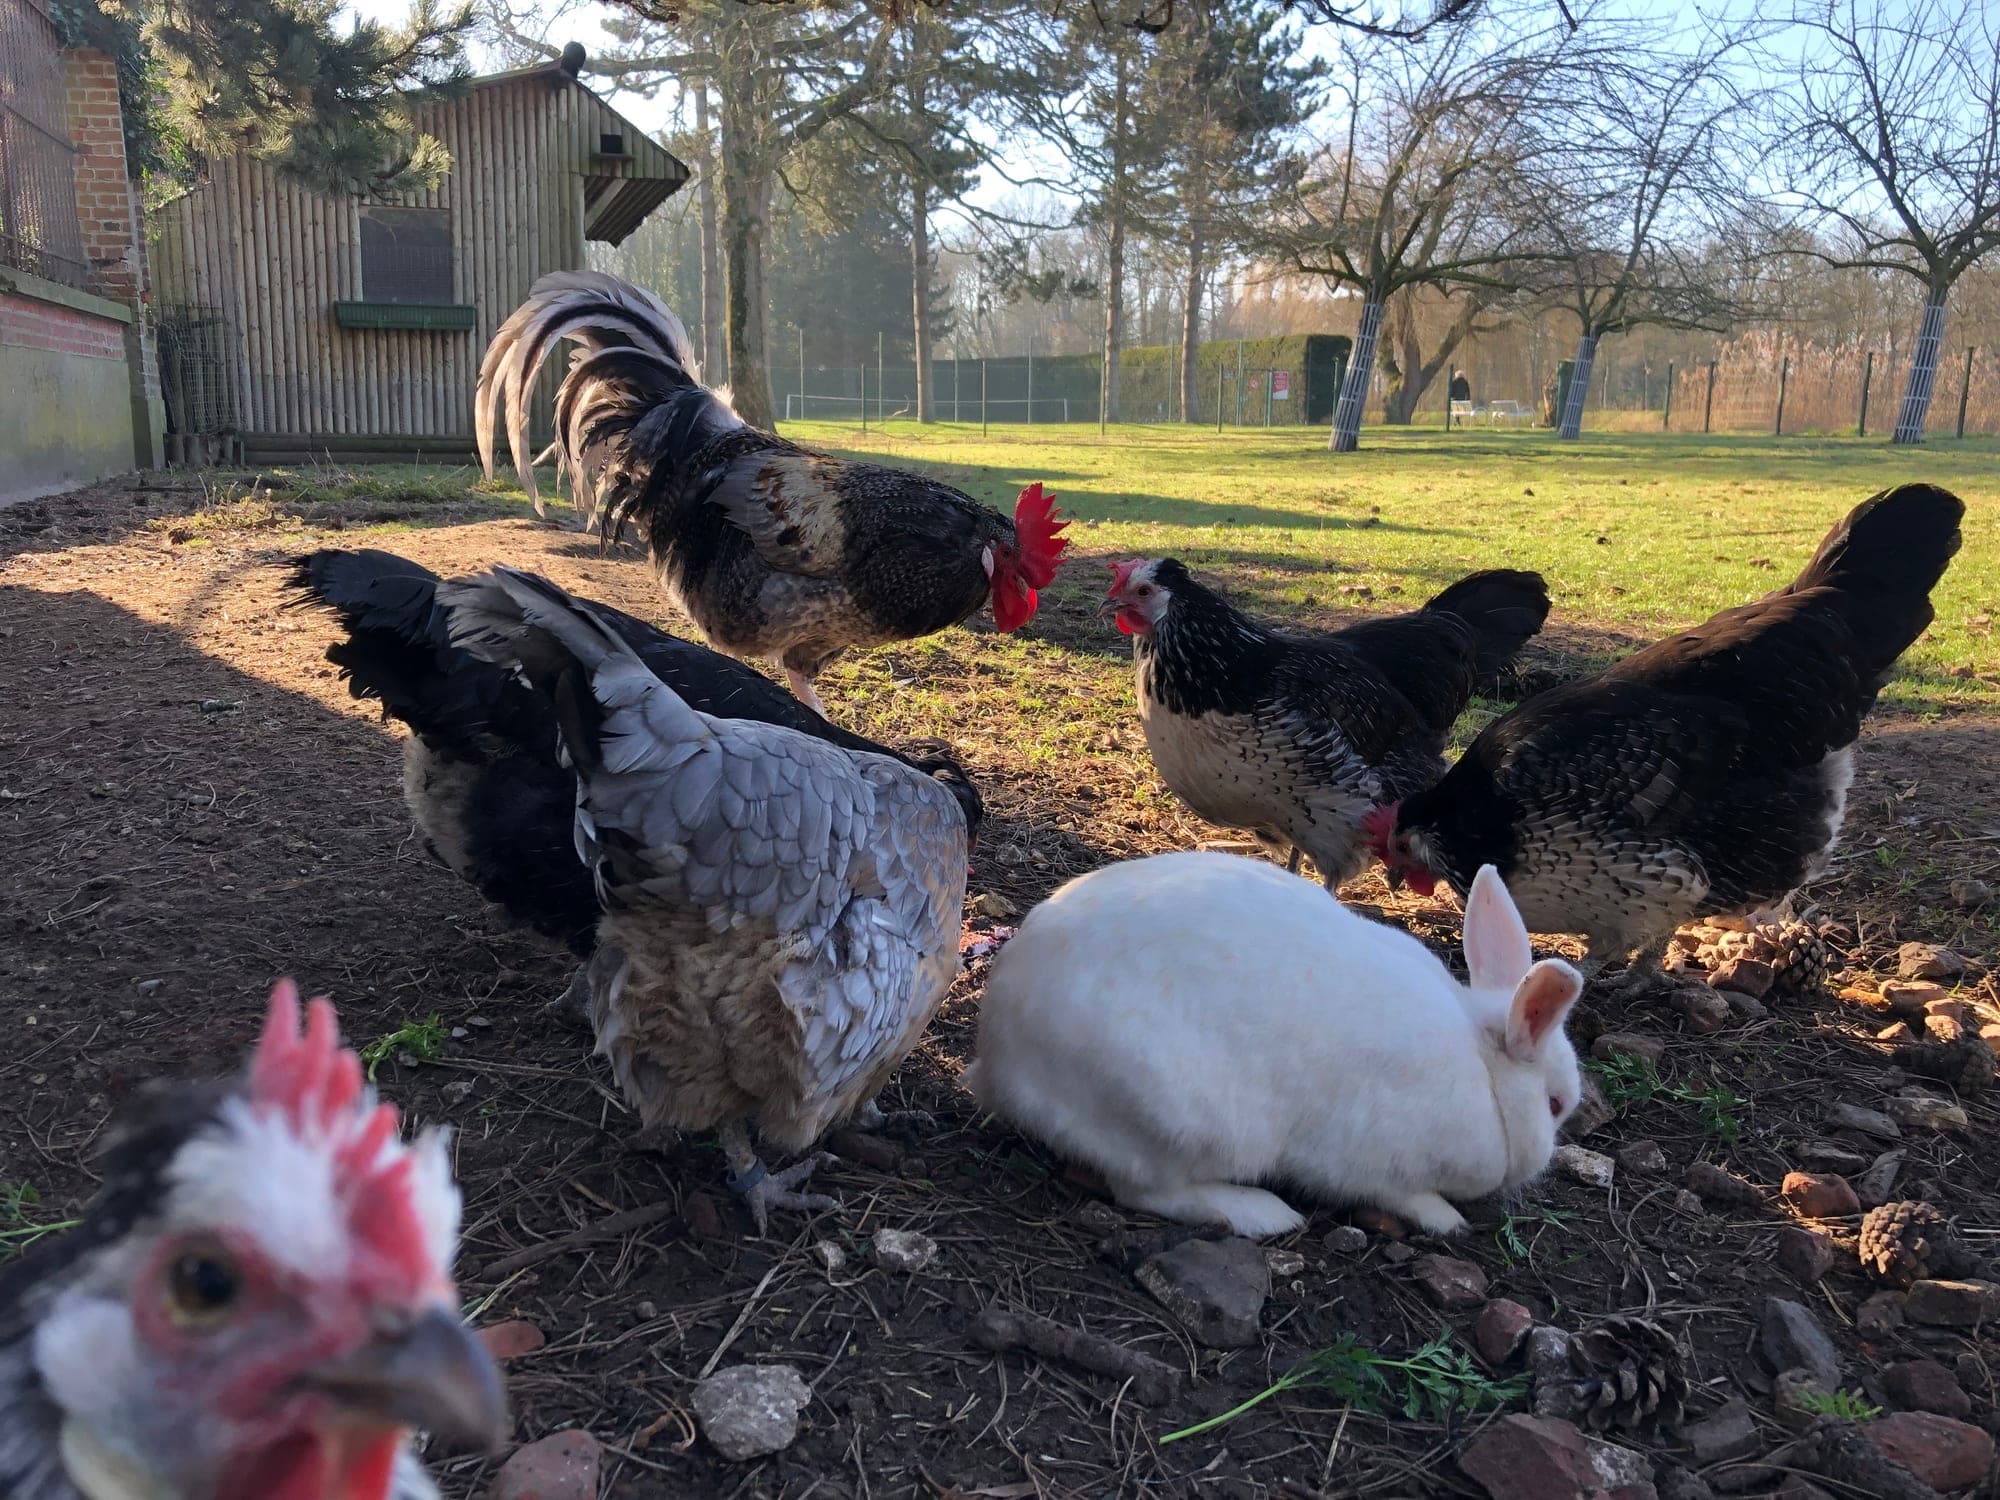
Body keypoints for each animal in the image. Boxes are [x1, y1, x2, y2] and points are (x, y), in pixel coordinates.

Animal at [963, 851, 1585, 1238]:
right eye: (1554, 1104)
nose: (1539, 1167)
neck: (1484, 1073)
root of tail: (998, 1061)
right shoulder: (1376, 1163)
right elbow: (1403, 1195)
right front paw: (1445, 1218)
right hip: (1183, 1121)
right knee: (1149, 1191)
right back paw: (1263, 1215)